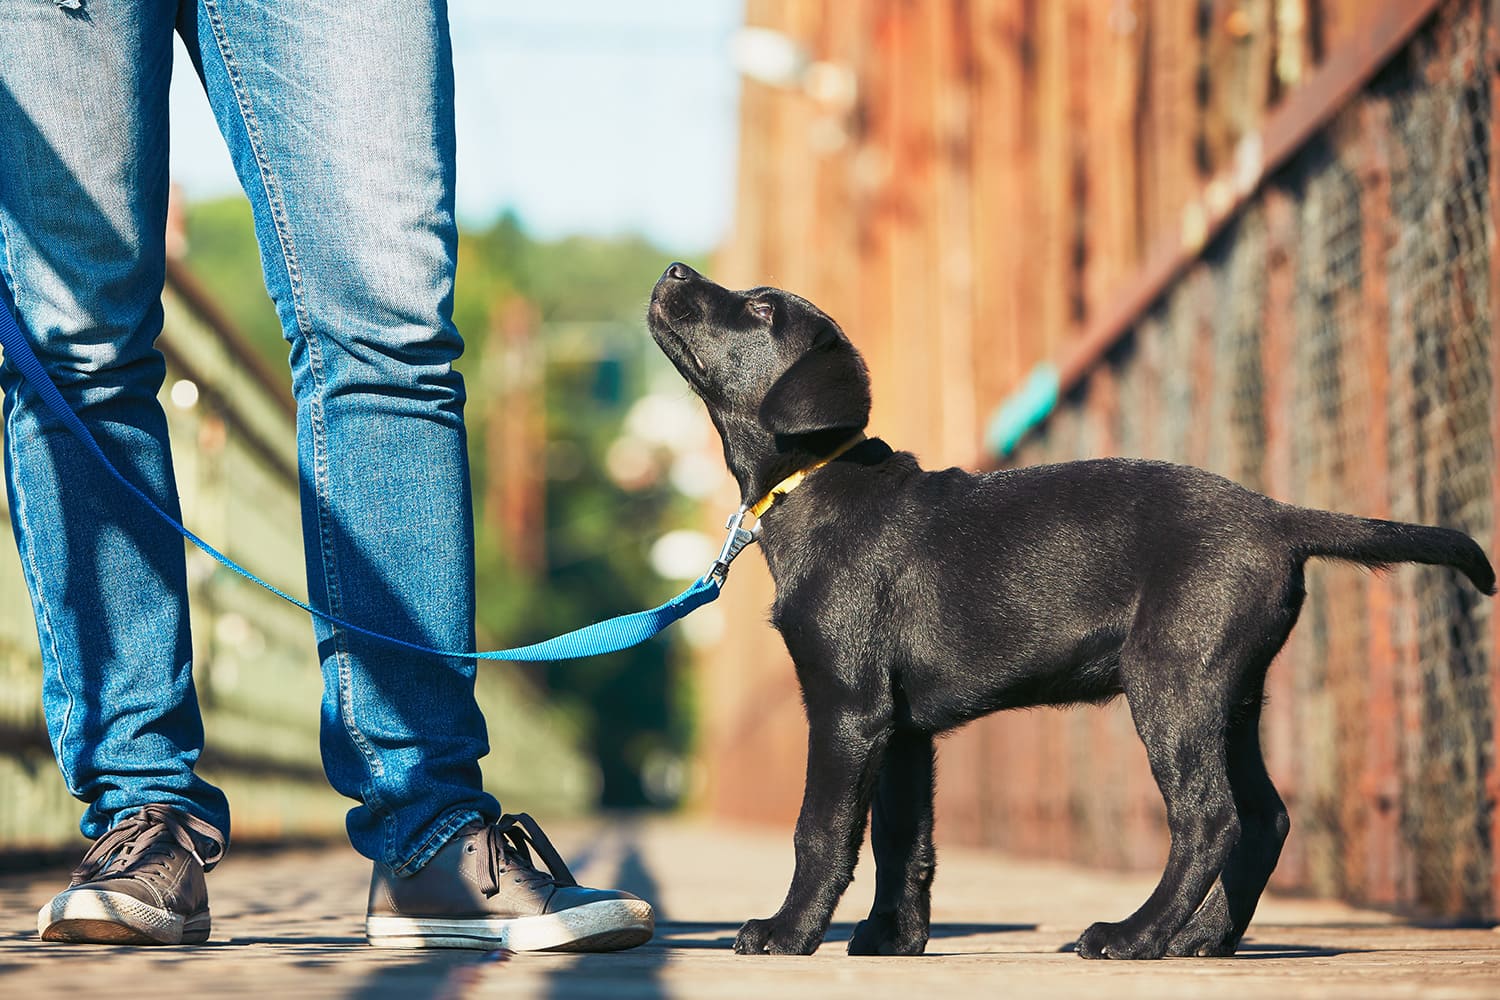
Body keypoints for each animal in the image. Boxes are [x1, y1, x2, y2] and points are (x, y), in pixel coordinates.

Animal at [648, 260, 1500, 959]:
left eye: (760, 308)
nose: (674, 268)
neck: (814, 481)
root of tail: (1277, 515)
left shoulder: (847, 708)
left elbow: (821, 830)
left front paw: (788, 931)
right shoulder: (902, 729)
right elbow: (902, 840)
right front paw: (893, 938)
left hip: (1170, 682)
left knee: (1209, 817)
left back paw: (1135, 936)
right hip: (1230, 694)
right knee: (1263, 819)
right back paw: (1203, 939)